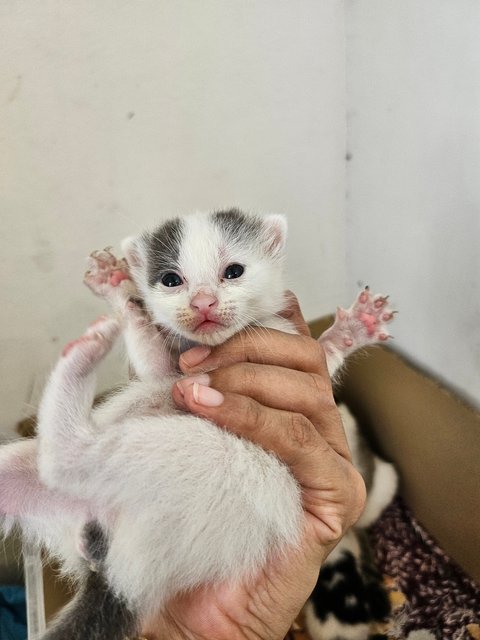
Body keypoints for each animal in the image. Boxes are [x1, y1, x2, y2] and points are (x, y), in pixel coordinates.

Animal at [0, 210, 396, 640]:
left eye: (234, 271)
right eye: (171, 280)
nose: (203, 301)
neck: (210, 348)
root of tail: (106, 559)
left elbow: (324, 356)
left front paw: (350, 331)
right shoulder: (167, 371)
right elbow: (152, 360)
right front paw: (118, 290)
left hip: (199, 468)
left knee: (66, 461)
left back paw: (86, 356)